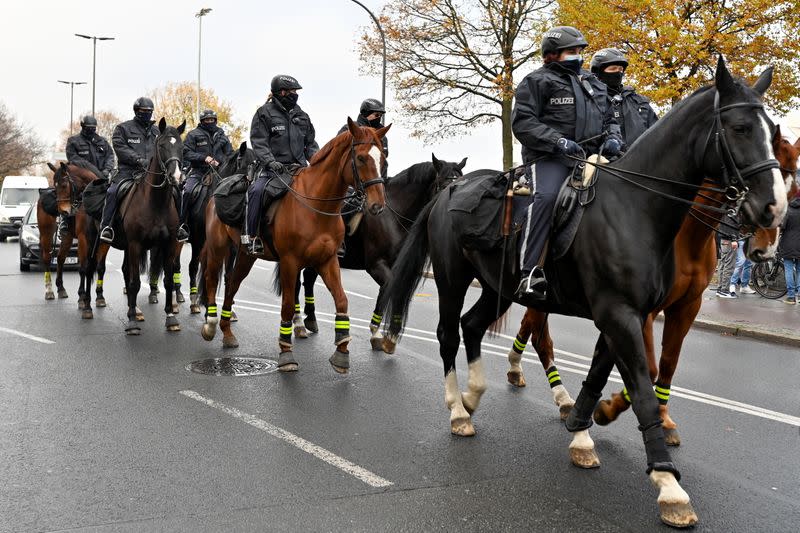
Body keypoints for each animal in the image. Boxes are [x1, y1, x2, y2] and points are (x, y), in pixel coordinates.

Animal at [199, 118, 388, 372]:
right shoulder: (290, 262)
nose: (378, 206)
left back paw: (227, 332)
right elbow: (288, 305)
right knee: (211, 278)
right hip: (218, 247)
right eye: (360, 158)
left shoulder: (327, 261)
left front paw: (341, 350)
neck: (316, 207)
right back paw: (210, 324)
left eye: (383, 158)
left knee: (232, 284)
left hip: (247, 255)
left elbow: (342, 300)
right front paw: (286, 352)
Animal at [290, 154, 466, 352]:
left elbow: (385, 293)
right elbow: (393, 291)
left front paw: (376, 333)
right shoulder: (376, 265)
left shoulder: (391, 266)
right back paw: (298, 323)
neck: (391, 216)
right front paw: (389, 337)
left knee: (308, 279)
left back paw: (311, 320)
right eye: (444, 187)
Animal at [506, 127, 800, 442]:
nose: (765, 250)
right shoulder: (643, 310)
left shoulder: (687, 306)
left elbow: (668, 365)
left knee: (530, 328)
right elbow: (648, 367)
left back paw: (518, 369)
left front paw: (662, 416)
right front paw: (609, 409)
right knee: (540, 338)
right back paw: (558, 395)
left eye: (794, 192)